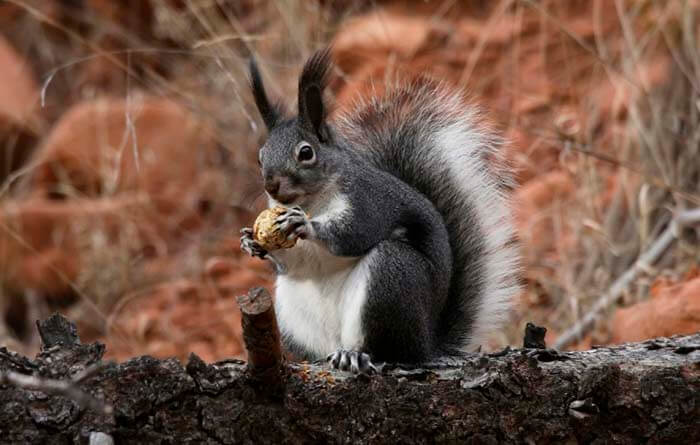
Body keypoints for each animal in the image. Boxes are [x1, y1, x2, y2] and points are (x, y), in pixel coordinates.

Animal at [240, 48, 521, 373]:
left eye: (306, 152)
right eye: (260, 157)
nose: (271, 185)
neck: (311, 202)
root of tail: (427, 343)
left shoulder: (370, 200)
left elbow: (354, 233)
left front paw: (305, 225)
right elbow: (293, 264)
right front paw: (250, 241)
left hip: (391, 278)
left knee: (387, 350)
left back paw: (356, 355)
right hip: (293, 313)